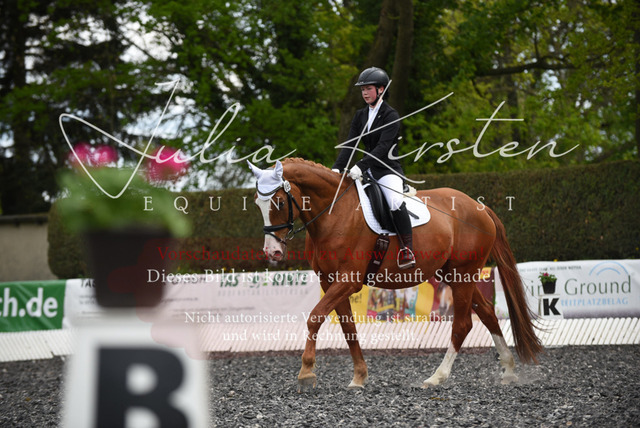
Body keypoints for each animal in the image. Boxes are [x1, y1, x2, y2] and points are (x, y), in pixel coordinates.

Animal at [248, 157, 542, 389]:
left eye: (278, 201)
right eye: (256, 204)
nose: (273, 252)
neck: (334, 214)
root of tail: (480, 208)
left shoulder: (349, 280)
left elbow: (315, 317)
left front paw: (306, 372)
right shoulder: (329, 281)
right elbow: (348, 328)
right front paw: (359, 377)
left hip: (464, 274)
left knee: (462, 324)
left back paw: (437, 377)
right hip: (454, 275)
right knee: (488, 314)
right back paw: (509, 370)